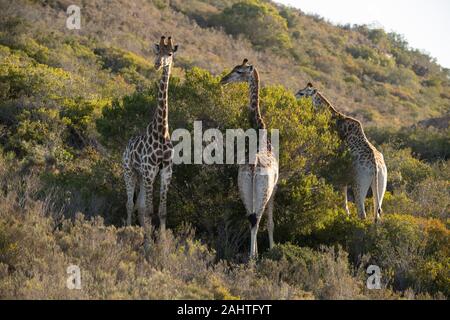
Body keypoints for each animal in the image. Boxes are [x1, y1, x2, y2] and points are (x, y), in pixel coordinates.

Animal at [123, 36, 179, 232]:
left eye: (169, 53)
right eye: (157, 51)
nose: (157, 64)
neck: (161, 132)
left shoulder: (165, 172)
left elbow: (161, 211)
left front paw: (161, 239)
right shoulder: (149, 171)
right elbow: (148, 210)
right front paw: (148, 239)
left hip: (142, 176)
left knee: (138, 206)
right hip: (129, 171)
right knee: (130, 204)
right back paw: (128, 230)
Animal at [221, 58, 280, 258]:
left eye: (239, 71)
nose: (223, 80)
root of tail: (254, 169)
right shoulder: (275, 186)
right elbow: (270, 222)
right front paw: (271, 249)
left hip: (243, 186)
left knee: (250, 217)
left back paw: (250, 255)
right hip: (263, 189)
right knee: (257, 219)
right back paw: (253, 257)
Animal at [296, 83, 386, 222]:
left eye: (301, 93)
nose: (293, 97)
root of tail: (376, 168)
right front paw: (345, 213)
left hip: (359, 182)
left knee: (362, 213)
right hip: (381, 183)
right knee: (377, 214)